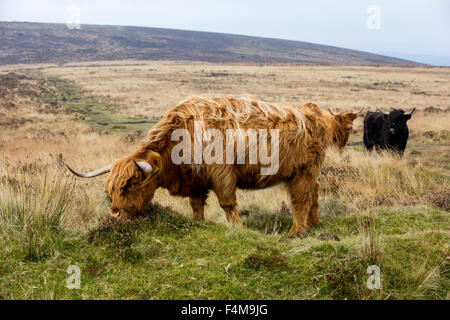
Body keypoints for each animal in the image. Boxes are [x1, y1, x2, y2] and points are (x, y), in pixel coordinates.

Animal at [67, 96, 360, 236]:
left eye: (129, 186)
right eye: (110, 191)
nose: (115, 216)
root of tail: (314, 111)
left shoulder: (222, 173)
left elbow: (228, 203)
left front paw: (238, 227)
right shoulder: (196, 180)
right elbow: (197, 205)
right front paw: (198, 223)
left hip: (303, 171)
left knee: (300, 199)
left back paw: (296, 232)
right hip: (306, 172)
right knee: (315, 193)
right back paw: (314, 224)